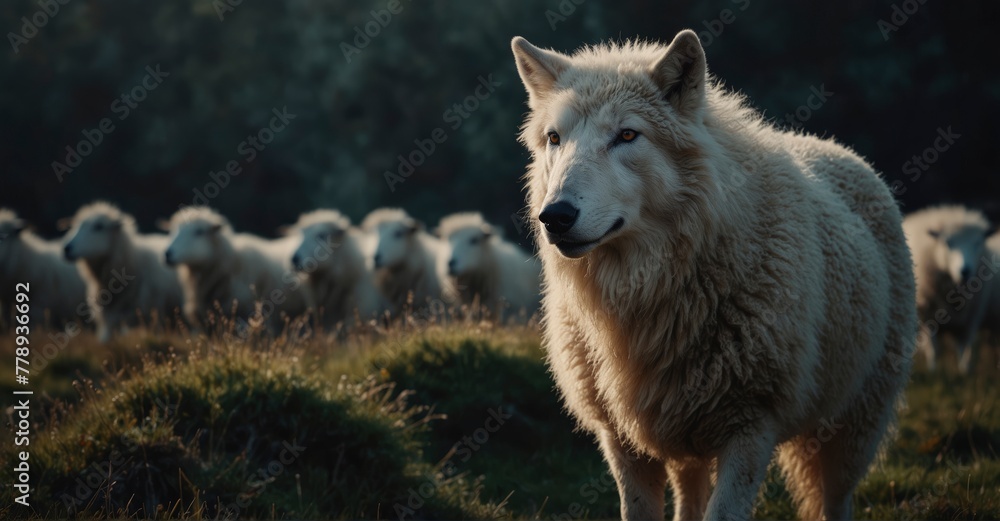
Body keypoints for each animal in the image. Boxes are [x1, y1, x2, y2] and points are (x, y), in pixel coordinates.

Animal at [903, 205, 996, 374]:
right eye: (947, 243)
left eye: (978, 242)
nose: (965, 270)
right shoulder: (928, 317)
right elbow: (935, 350)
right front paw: (933, 371)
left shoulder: (971, 318)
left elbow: (964, 349)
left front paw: (964, 372)